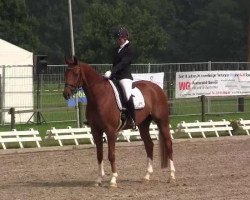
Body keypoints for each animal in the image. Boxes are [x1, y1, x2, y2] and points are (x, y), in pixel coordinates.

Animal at [63, 57, 176, 188]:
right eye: (66, 73)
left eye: (76, 73)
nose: (66, 94)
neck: (99, 95)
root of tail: (156, 88)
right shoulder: (96, 131)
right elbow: (99, 155)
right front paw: (98, 179)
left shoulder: (111, 131)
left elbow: (111, 155)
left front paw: (113, 180)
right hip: (143, 125)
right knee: (149, 145)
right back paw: (147, 176)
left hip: (162, 121)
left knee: (168, 144)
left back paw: (172, 176)